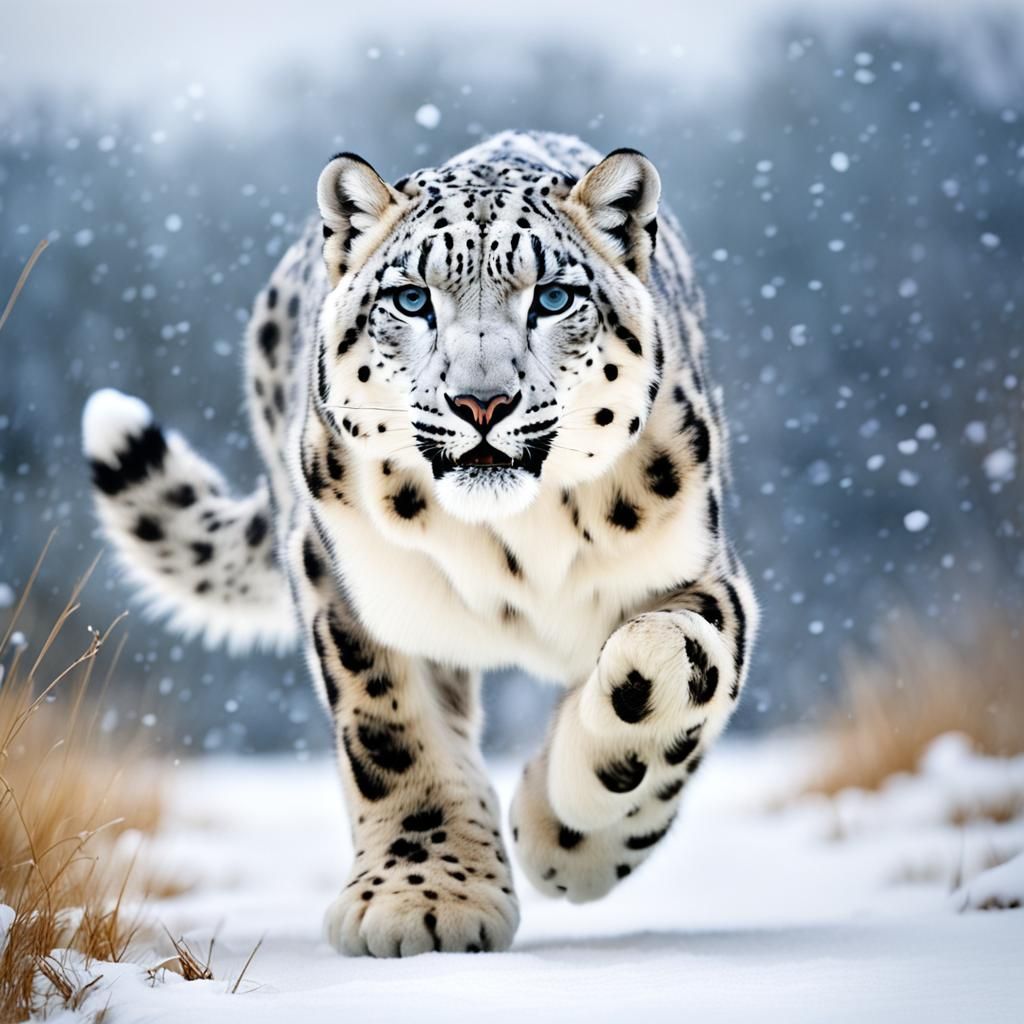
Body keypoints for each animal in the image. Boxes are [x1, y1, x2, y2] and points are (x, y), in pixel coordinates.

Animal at [81, 129, 758, 957]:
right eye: (411, 299)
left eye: (553, 297)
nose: (481, 402)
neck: (514, 548)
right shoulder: (353, 586)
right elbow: (392, 735)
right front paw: (422, 902)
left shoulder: (704, 569)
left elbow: (672, 669)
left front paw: (565, 838)